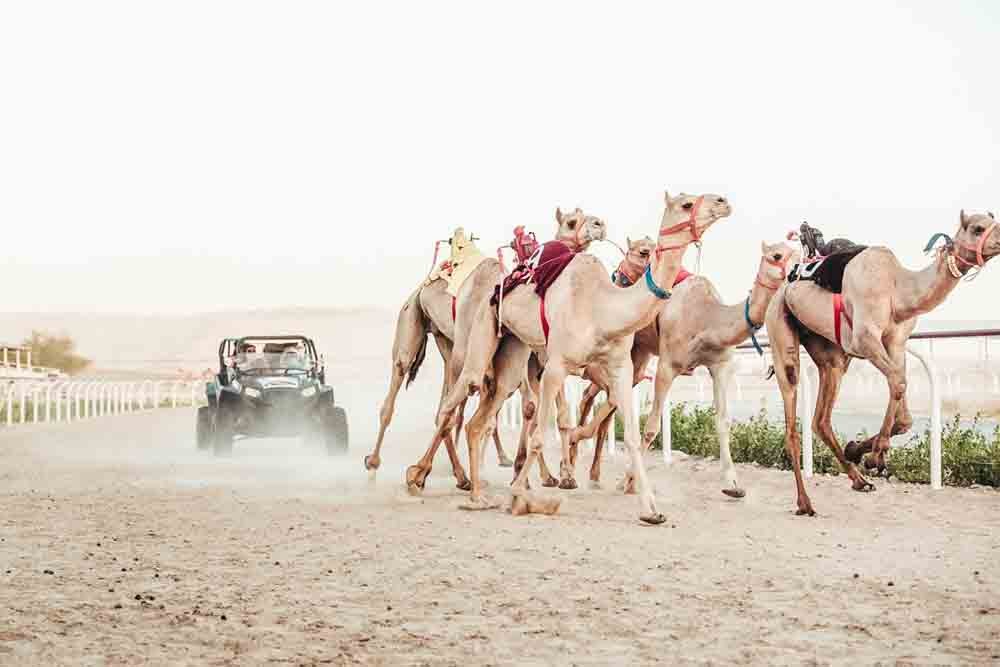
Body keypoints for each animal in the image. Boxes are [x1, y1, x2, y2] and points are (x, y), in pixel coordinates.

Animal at [404, 209, 608, 493]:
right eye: (571, 222)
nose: (600, 225)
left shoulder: (544, 361)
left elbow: (554, 414)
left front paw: (559, 476)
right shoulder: (531, 362)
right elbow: (531, 407)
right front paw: (531, 474)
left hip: (451, 346)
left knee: (461, 405)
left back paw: (460, 473)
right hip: (461, 349)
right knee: (451, 405)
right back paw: (428, 474)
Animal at [437, 191, 733, 523]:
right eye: (686, 203)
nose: (722, 201)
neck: (602, 309)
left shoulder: (620, 368)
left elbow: (632, 435)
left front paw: (650, 510)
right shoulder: (555, 366)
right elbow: (541, 435)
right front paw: (518, 495)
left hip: (513, 351)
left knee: (479, 419)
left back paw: (477, 494)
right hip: (482, 329)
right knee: (456, 398)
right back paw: (432, 481)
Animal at [569, 240, 799, 497]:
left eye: (800, 251)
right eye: (776, 255)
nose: (797, 271)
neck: (705, 317)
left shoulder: (720, 366)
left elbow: (723, 421)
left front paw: (733, 484)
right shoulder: (667, 366)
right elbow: (651, 427)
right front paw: (627, 481)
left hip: (637, 356)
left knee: (605, 398)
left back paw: (591, 473)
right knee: (591, 395)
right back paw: (573, 460)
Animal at [765, 210, 998, 516]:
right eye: (978, 228)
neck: (898, 290)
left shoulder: (895, 342)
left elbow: (904, 410)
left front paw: (857, 449)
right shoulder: (865, 339)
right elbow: (897, 382)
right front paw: (876, 456)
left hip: (832, 356)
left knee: (821, 419)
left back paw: (859, 481)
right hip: (781, 332)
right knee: (792, 422)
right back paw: (805, 503)